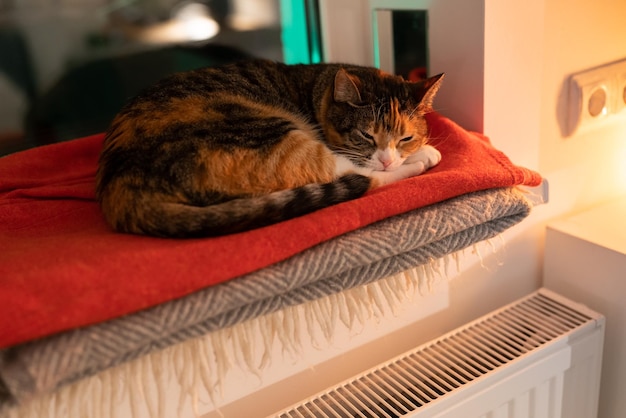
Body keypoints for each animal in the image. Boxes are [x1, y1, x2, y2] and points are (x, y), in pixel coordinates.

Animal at [95, 58, 442, 238]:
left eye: (405, 138)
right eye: (366, 135)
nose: (388, 159)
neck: (318, 85)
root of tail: (122, 186)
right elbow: (363, 167)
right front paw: (422, 155)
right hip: (265, 129)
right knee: (357, 177)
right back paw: (415, 166)